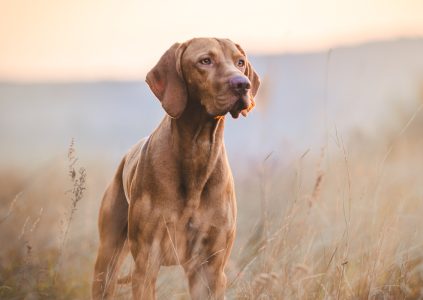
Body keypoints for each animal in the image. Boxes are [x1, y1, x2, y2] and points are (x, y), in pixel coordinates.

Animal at [91, 38, 260, 300]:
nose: (243, 84)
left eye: (240, 62)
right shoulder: (147, 263)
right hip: (107, 260)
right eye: (205, 60)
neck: (197, 151)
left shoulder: (211, 269)